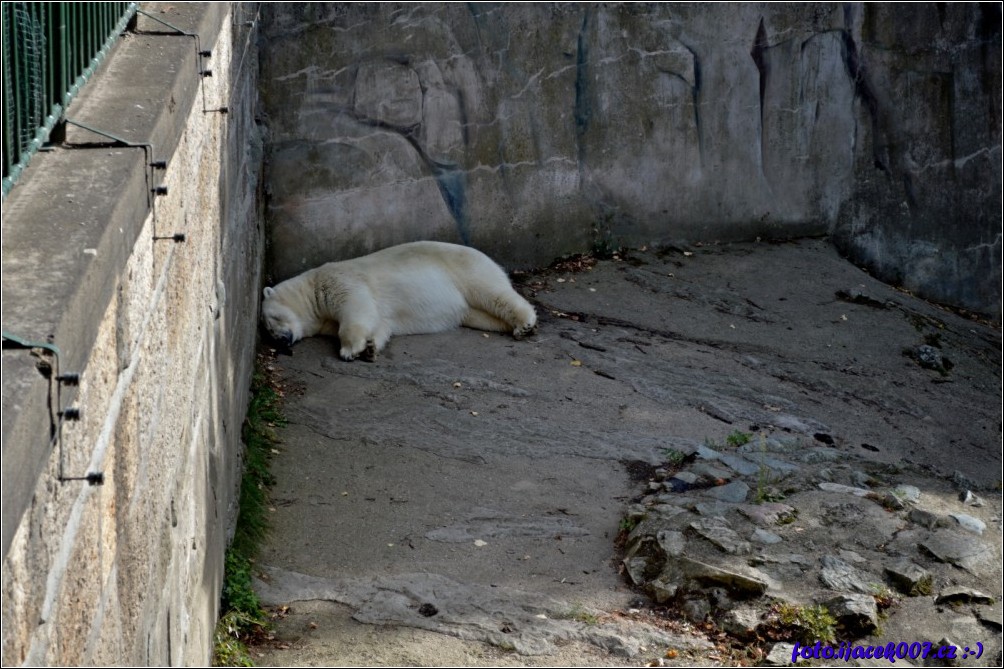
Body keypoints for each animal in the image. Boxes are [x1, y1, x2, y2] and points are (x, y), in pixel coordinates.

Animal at [263, 241, 538, 359]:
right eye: (268, 330)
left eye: (270, 321)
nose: (279, 340)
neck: (311, 288)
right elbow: (380, 322)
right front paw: (370, 347)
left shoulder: (339, 281)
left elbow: (355, 307)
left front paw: (350, 350)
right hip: (470, 308)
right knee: (483, 314)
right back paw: (513, 327)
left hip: (465, 268)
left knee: (492, 293)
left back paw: (525, 322)